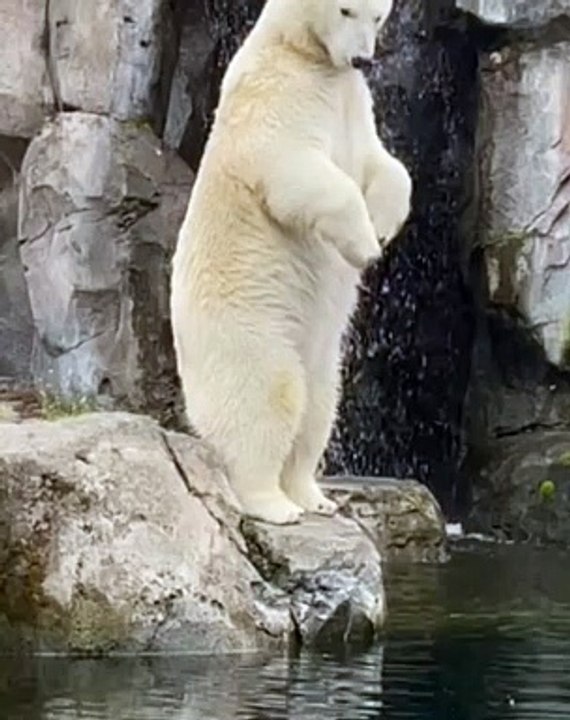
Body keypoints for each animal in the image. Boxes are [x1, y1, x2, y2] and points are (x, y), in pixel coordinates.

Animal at [170, 0, 412, 525]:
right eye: (345, 10)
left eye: (378, 16)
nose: (363, 60)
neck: (308, 57)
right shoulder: (276, 94)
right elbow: (295, 169)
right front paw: (365, 244)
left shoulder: (351, 102)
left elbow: (382, 163)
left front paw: (383, 226)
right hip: (244, 326)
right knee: (268, 396)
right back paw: (275, 504)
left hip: (318, 353)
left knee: (320, 404)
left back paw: (313, 495)